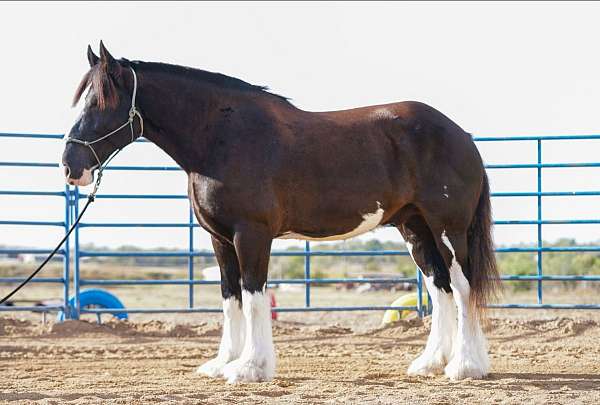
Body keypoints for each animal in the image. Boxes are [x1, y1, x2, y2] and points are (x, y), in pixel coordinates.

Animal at [62, 43, 502, 382]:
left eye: (101, 101)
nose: (70, 166)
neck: (222, 137)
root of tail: (462, 136)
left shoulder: (251, 235)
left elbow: (254, 296)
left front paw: (249, 368)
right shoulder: (220, 240)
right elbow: (230, 298)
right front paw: (222, 363)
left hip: (448, 229)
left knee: (463, 288)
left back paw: (465, 367)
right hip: (415, 228)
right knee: (440, 289)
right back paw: (430, 364)